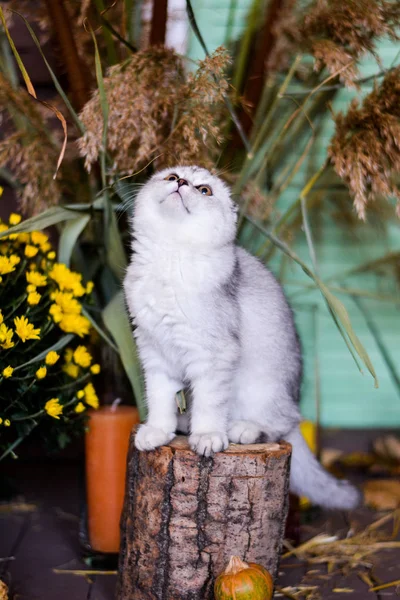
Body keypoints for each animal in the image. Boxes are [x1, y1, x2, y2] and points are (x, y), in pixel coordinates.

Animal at [123, 166, 360, 508]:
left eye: (204, 190)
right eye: (171, 177)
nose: (181, 183)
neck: (170, 258)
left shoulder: (214, 354)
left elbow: (210, 403)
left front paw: (207, 436)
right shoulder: (154, 352)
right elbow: (159, 399)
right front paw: (157, 431)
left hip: (264, 391)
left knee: (280, 425)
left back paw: (243, 429)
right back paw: (185, 424)